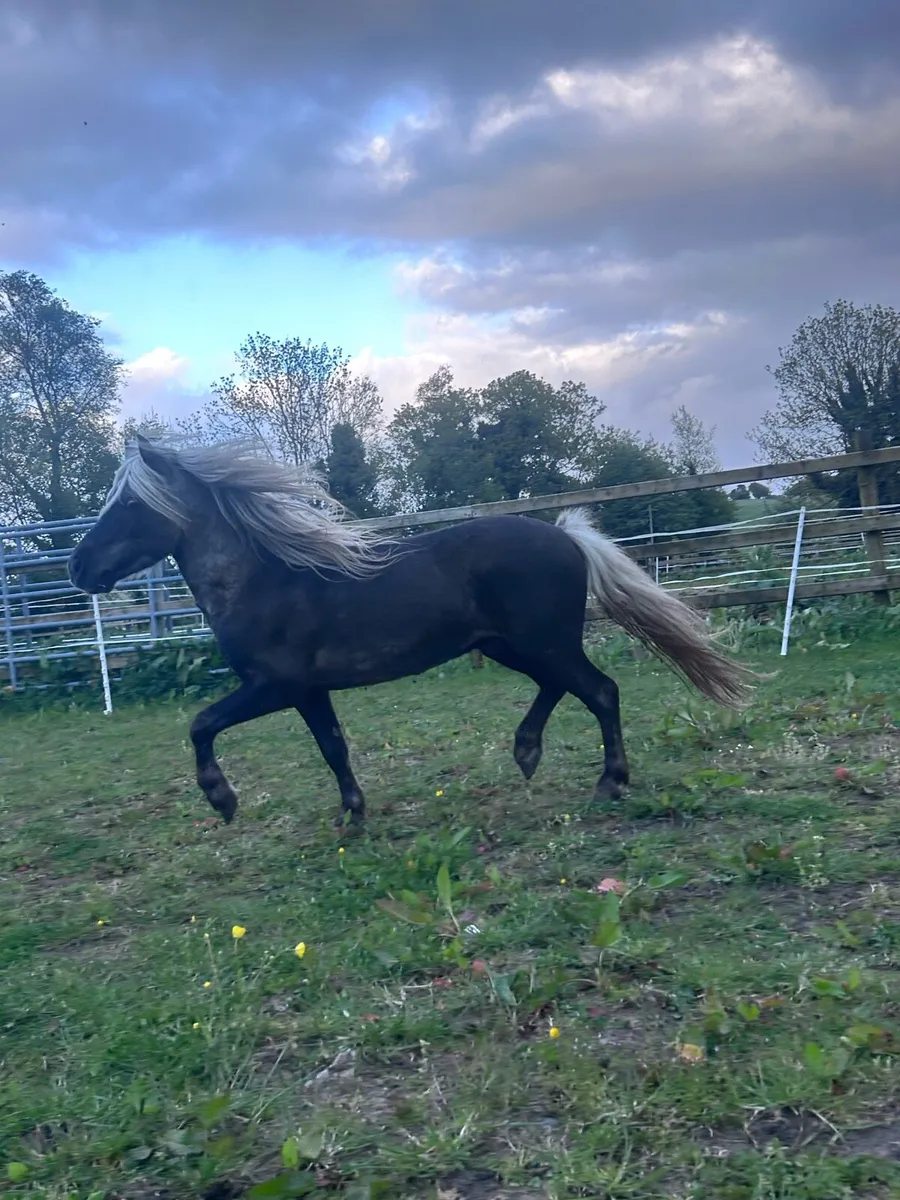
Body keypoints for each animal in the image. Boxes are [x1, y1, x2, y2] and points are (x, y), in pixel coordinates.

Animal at [68, 437, 754, 827]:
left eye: (130, 504)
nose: (78, 568)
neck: (264, 579)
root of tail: (567, 537)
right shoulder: (309, 693)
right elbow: (334, 748)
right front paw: (353, 817)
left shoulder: (273, 687)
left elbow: (201, 724)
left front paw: (223, 800)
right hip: (510, 646)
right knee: (564, 688)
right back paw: (526, 752)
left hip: (541, 642)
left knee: (601, 690)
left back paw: (608, 783)